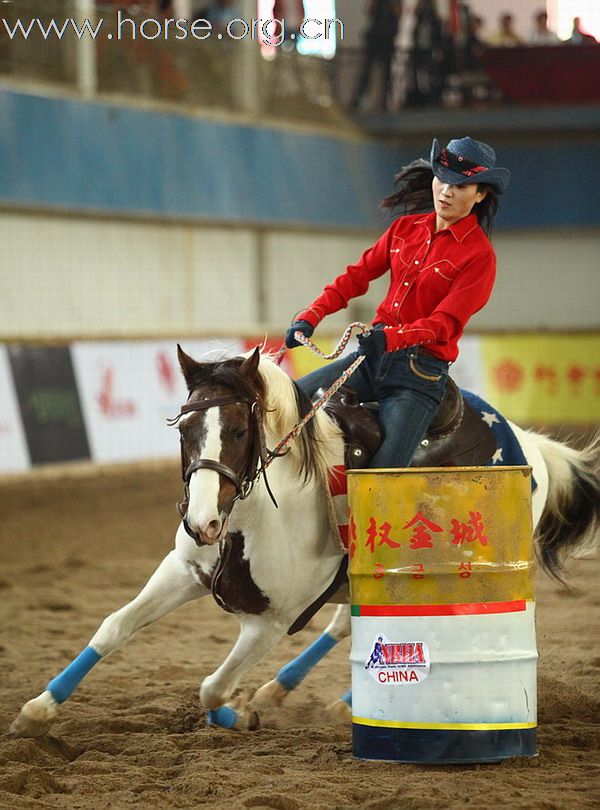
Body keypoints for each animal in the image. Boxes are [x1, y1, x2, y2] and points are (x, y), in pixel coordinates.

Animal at [10, 344, 600, 736]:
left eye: (240, 431)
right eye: (184, 429)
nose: (200, 521)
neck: (249, 519)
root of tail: (526, 442)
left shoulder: (269, 623)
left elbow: (212, 687)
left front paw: (239, 713)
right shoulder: (182, 570)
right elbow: (114, 628)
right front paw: (38, 710)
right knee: (347, 624)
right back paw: (288, 691)